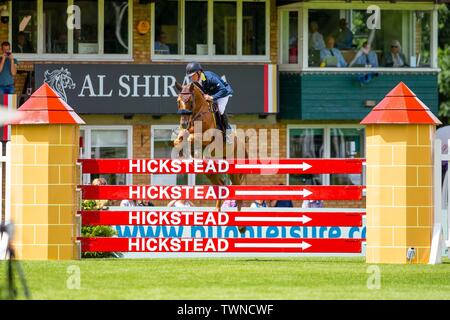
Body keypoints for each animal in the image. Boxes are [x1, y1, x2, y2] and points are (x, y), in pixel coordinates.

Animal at [174, 82, 248, 232]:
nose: (183, 123)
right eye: (178, 101)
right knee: (221, 186)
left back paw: (241, 226)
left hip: (233, 171)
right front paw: (184, 152)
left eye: (190, 101)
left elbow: (191, 137)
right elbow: (179, 139)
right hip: (210, 171)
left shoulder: (206, 138)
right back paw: (217, 215)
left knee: (236, 191)